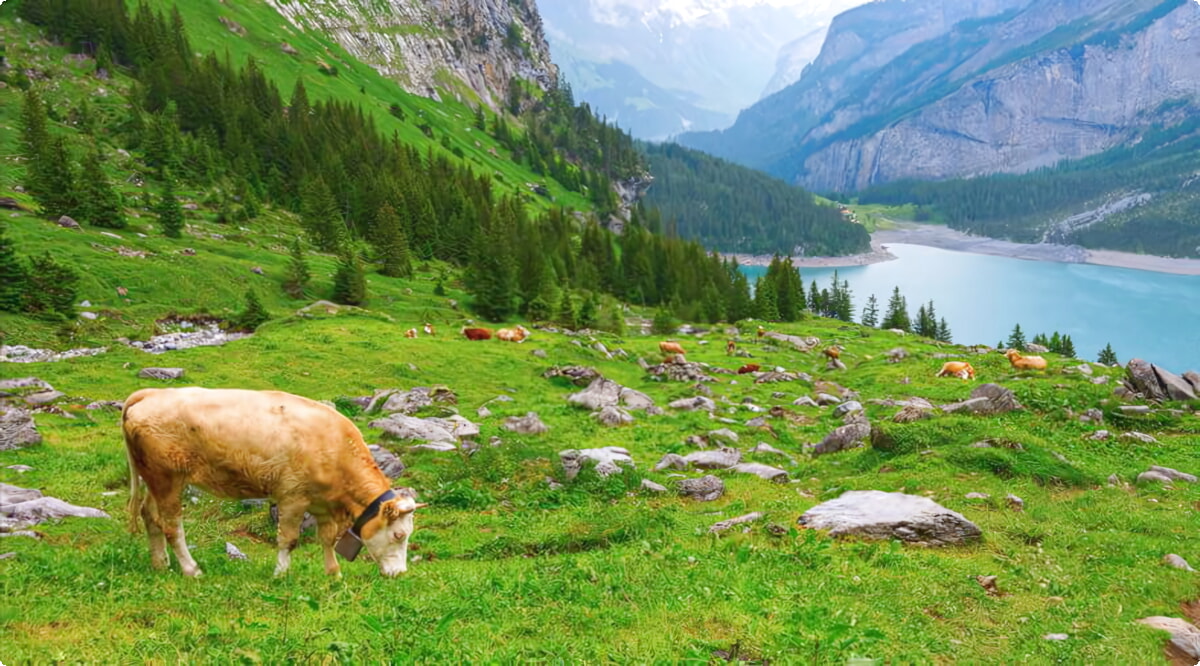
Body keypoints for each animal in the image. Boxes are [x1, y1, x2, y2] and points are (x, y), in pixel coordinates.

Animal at [125, 386, 427, 578]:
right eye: (399, 535)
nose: (400, 573)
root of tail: (150, 393)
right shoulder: (292, 497)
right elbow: (289, 539)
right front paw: (281, 574)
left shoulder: (322, 504)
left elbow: (327, 539)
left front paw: (334, 574)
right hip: (167, 478)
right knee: (171, 526)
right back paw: (191, 570)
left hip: (153, 478)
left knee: (149, 515)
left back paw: (160, 565)